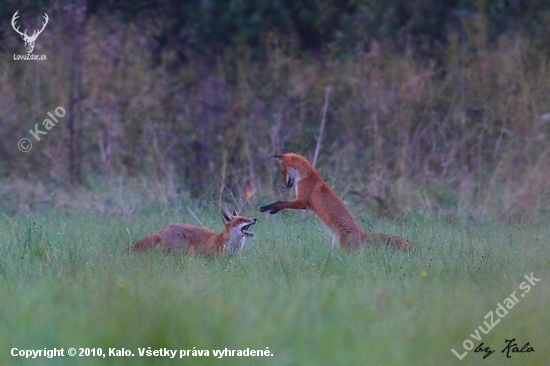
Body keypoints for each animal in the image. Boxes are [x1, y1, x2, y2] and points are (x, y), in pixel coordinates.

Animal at [262, 152, 414, 252]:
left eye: (283, 172)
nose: (283, 186)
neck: (306, 176)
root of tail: (361, 234)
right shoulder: (304, 203)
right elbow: (283, 203)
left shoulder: (302, 201)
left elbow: (281, 202)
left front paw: (268, 207)